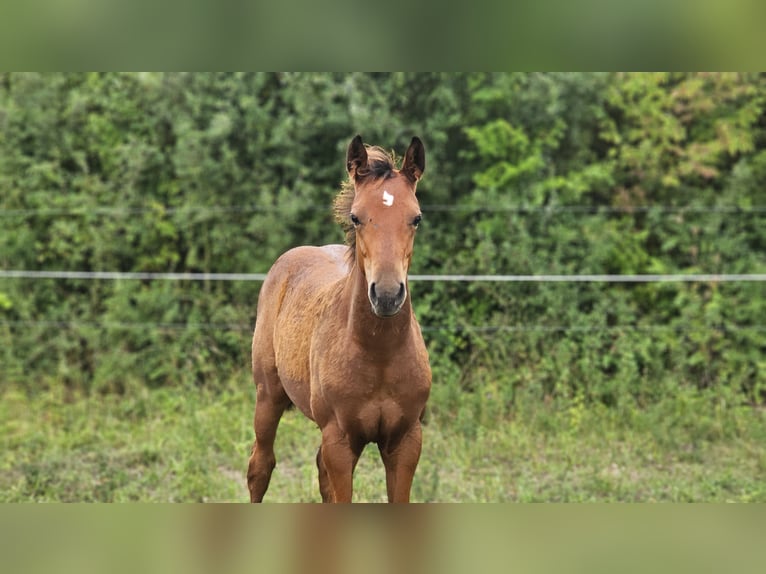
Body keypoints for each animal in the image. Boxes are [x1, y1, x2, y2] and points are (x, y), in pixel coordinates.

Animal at [247, 135, 432, 503]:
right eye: (357, 217)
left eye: (416, 218)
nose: (386, 294)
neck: (379, 354)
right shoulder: (340, 440)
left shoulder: (406, 440)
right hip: (267, 394)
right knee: (260, 466)